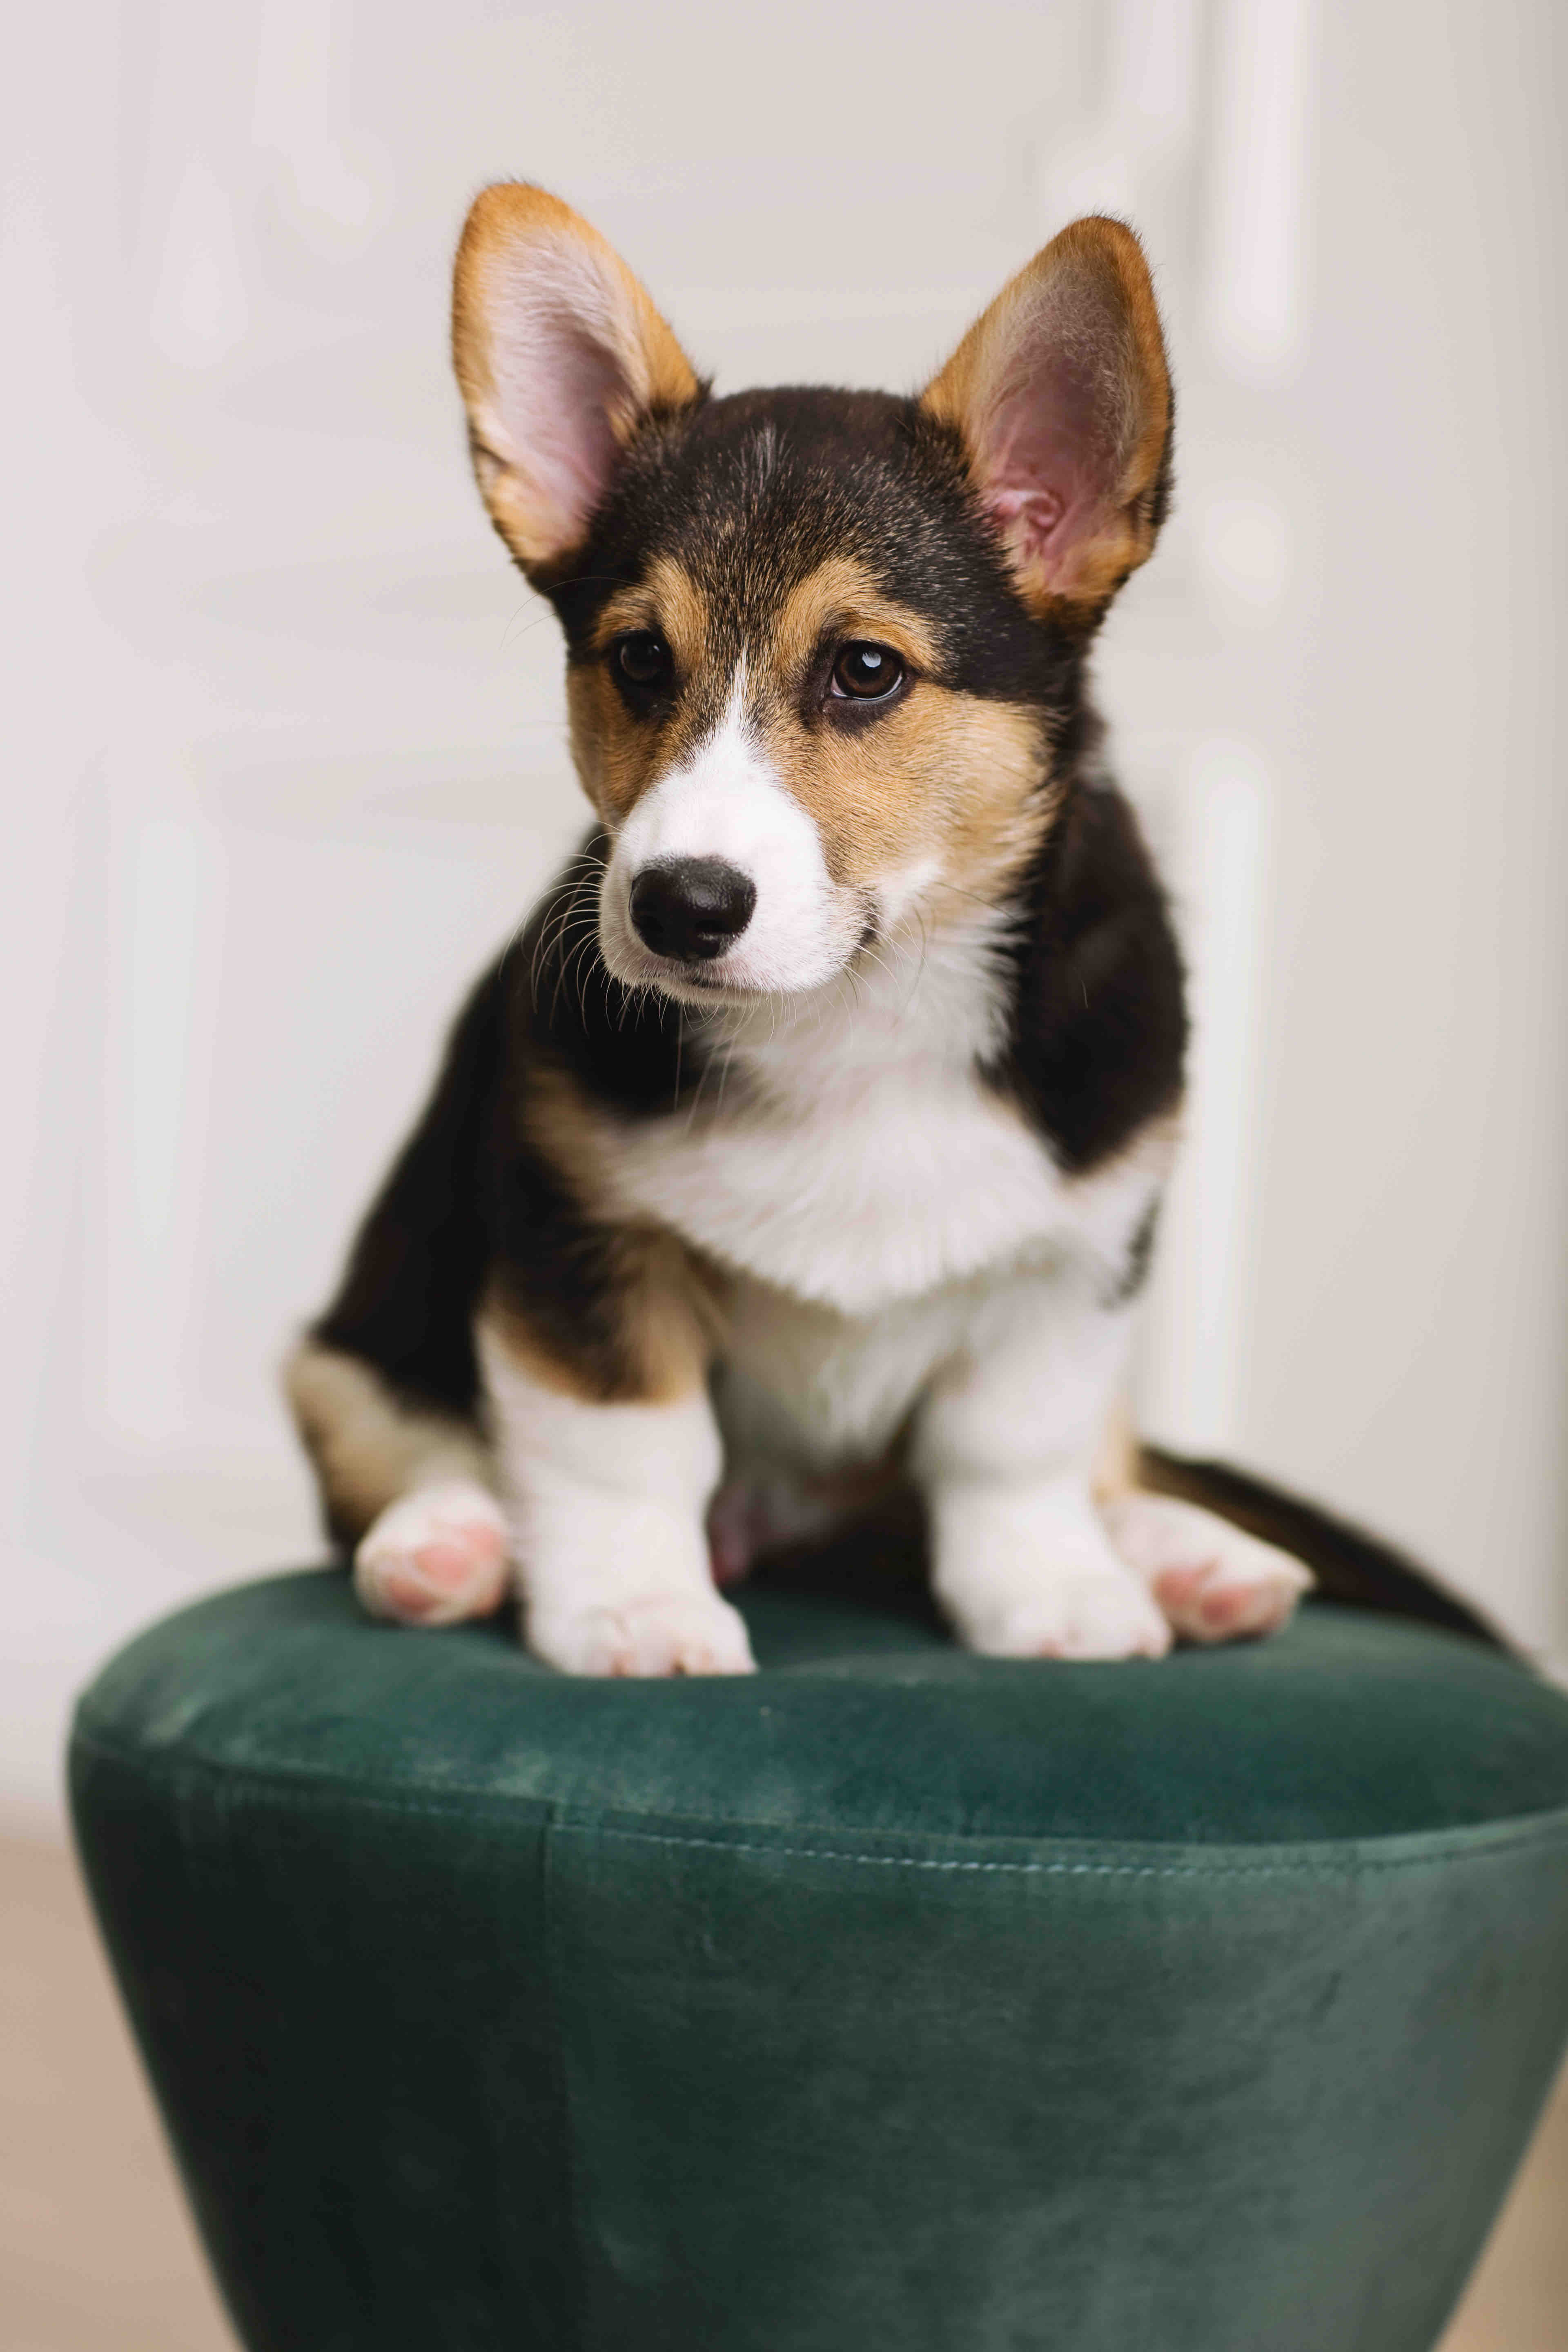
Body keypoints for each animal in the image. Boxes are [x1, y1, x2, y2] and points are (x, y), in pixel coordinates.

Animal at [285, 185, 1487, 1676]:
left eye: (866, 670)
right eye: (638, 659)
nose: (679, 908)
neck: (853, 1006)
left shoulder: (1074, 1256)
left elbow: (1013, 1449)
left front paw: (1051, 1593)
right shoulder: (580, 1238)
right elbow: (622, 1448)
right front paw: (635, 1609)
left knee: (1100, 1466)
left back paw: (1195, 1562)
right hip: (342, 1349)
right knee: (407, 1451)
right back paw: (446, 1547)